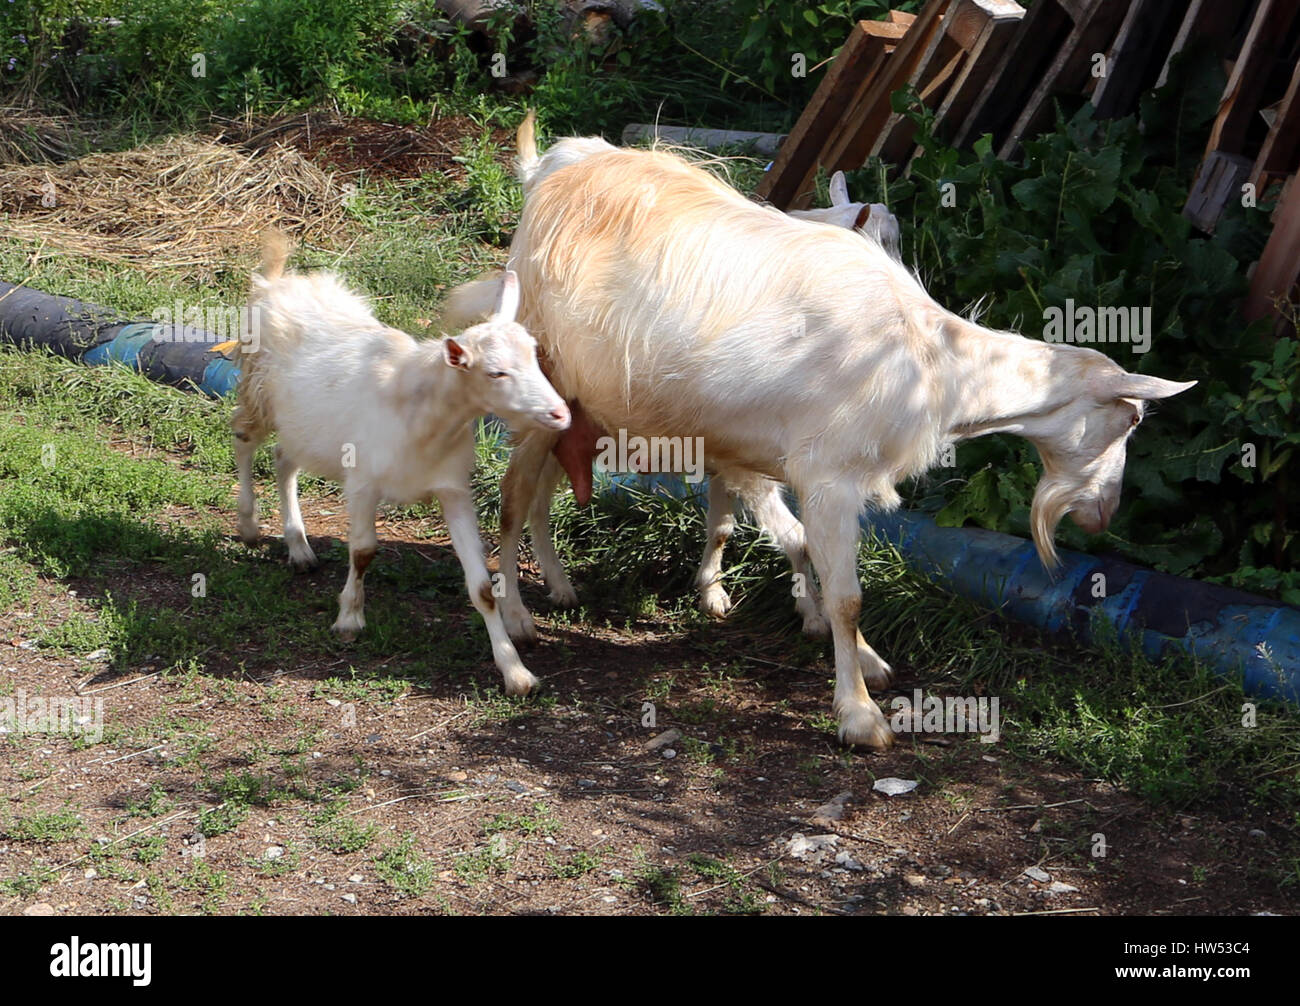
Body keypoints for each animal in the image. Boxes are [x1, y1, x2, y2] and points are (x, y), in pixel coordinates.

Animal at [444, 143, 1190, 748]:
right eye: (1130, 420)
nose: (1104, 513)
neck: (932, 362)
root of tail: (559, 171)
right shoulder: (829, 475)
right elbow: (845, 592)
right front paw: (859, 715)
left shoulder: (785, 459)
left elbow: (778, 544)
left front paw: (859, 658)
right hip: (540, 384)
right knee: (512, 497)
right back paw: (517, 620)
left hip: (574, 406)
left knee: (542, 490)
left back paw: (556, 586)